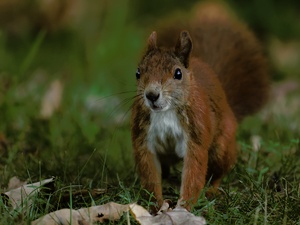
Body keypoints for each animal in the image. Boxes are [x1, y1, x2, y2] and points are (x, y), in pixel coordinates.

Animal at [131, 2, 270, 211]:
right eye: (138, 73)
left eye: (178, 73)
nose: (152, 95)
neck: (165, 112)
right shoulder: (143, 137)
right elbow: (150, 173)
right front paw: (156, 205)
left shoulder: (196, 132)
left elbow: (193, 172)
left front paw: (183, 208)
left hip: (221, 146)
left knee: (219, 171)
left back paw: (212, 190)